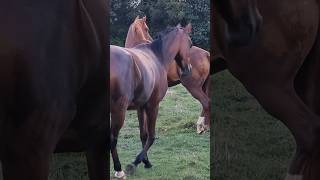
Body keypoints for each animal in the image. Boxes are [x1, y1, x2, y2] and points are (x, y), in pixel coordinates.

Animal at [110, 23, 192, 179]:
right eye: (190, 44)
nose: (188, 69)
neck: (157, 57)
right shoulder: (153, 106)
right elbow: (152, 135)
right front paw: (135, 163)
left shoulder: (141, 107)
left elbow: (143, 135)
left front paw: (146, 162)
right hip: (119, 110)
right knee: (112, 138)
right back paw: (119, 169)